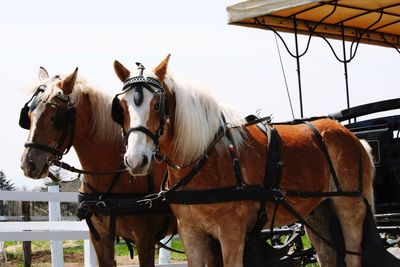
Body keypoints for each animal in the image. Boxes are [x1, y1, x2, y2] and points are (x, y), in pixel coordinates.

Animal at [111, 55, 376, 266]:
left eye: (157, 105)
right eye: (121, 107)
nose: (135, 160)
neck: (204, 157)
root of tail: (353, 137)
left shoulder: (231, 233)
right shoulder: (190, 233)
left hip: (350, 209)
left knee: (352, 256)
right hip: (317, 213)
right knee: (328, 256)